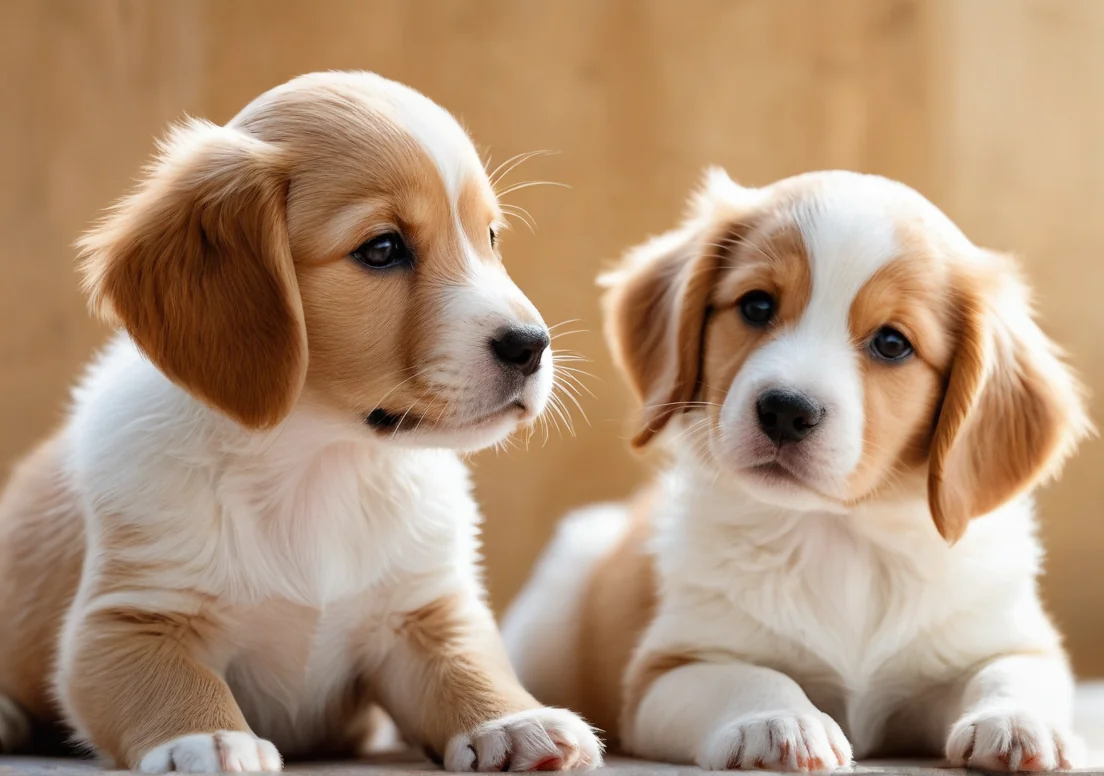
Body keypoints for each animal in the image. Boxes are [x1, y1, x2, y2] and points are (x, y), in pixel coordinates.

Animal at [0, 71, 604, 772]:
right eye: (383, 248)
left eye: (491, 238)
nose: (531, 345)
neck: (318, 462)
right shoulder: (128, 618)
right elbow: (175, 682)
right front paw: (208, 740)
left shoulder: (421, 610)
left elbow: (469, 663)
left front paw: (514, 721)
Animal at [505, 168, 1090, 772]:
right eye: (757, 306)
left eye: (892, 342)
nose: (786, 409)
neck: (841, 537)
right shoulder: (670, 670)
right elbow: (752, 677)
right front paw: (779, 721)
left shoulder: (1005, 639)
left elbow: (1014, 672)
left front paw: (1021, 722)